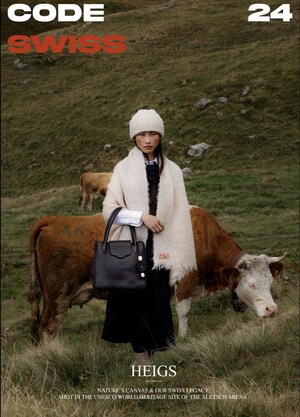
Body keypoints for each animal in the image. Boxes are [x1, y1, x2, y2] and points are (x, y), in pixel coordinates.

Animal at [28, 206, 286, 342]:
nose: (272, 310)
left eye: (270, 282)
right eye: (252, 285)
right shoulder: (185, 280)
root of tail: (51, 220)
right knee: (50, 325)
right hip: (57, 296)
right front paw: (182, 338)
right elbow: (183, 311)